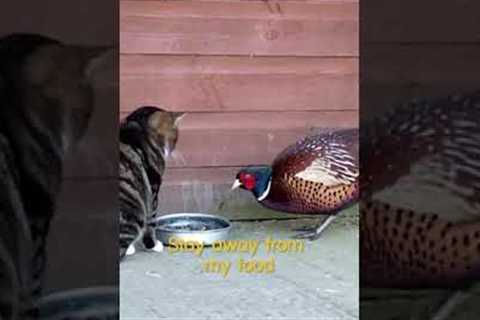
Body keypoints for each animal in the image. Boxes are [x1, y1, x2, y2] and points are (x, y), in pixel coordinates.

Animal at [118, 105, 184, 260]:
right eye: (175, 138)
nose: (172, 150)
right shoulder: (153, 188)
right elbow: (151, 220)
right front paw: (152, 244)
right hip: (134, 212)